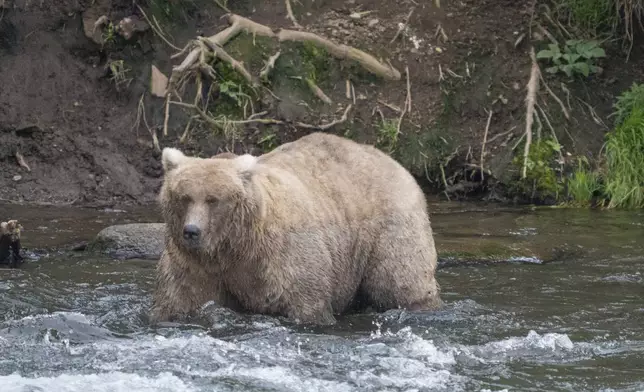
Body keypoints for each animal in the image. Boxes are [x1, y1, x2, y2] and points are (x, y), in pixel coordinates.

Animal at [151, 132, 442, 324]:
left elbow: (305, 301)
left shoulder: (282, 256)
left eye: (213, 200)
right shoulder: (195, 265)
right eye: (184, 197)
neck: (234, 246)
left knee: (399, 280)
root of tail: (393, 161)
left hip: (388, 226)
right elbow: (181, 299)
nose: (192, 231)